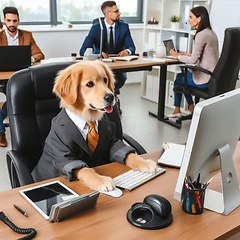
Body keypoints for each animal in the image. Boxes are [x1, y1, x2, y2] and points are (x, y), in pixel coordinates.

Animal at [31, 61, 157, 191]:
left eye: (105, 80)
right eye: (89, 84)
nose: (111, 97)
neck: (88, 119)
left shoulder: (111, 142)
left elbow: (129, 154)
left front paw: (144, 162)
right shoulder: (64, 154)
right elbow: (86, 170)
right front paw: (101, 180)